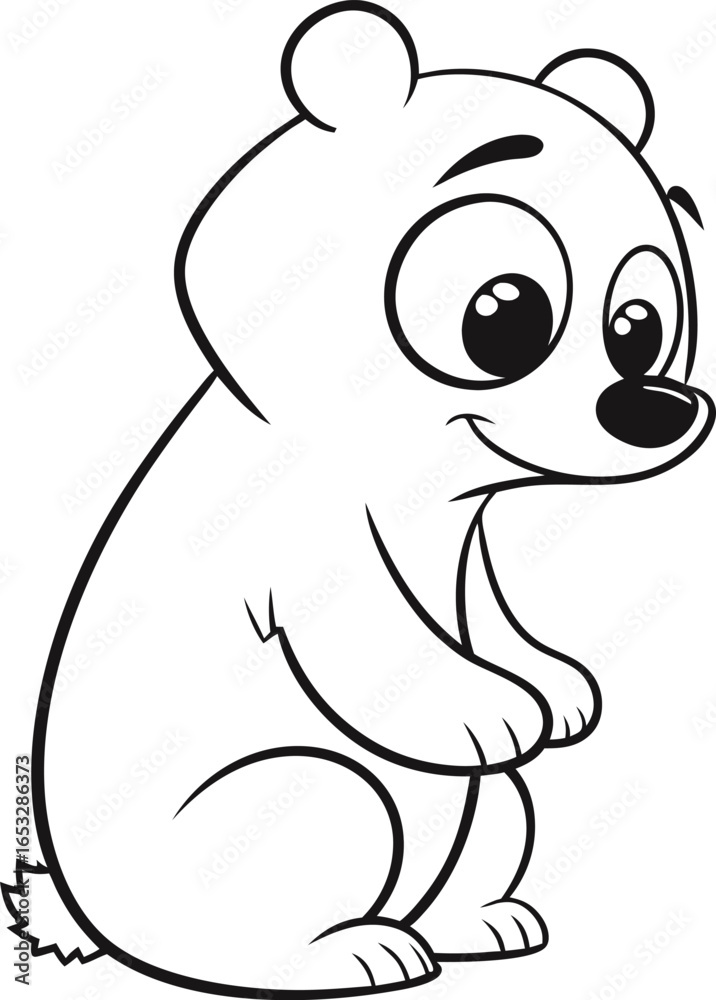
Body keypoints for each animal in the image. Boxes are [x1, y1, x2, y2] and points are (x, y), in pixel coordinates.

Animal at [16, 2, 713, 996]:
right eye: (503, 312)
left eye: (640, 325)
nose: (656, 410)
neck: (415, 480)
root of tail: (88, 917)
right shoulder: (303, 540)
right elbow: (373, 638)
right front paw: (497, 708)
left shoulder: (468, 546)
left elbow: (489, 615)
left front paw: (557, 687)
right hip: (298, 803)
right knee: (294, 852)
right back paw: (354, 950)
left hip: (488, 812)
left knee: (498, 808)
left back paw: (480, 924)